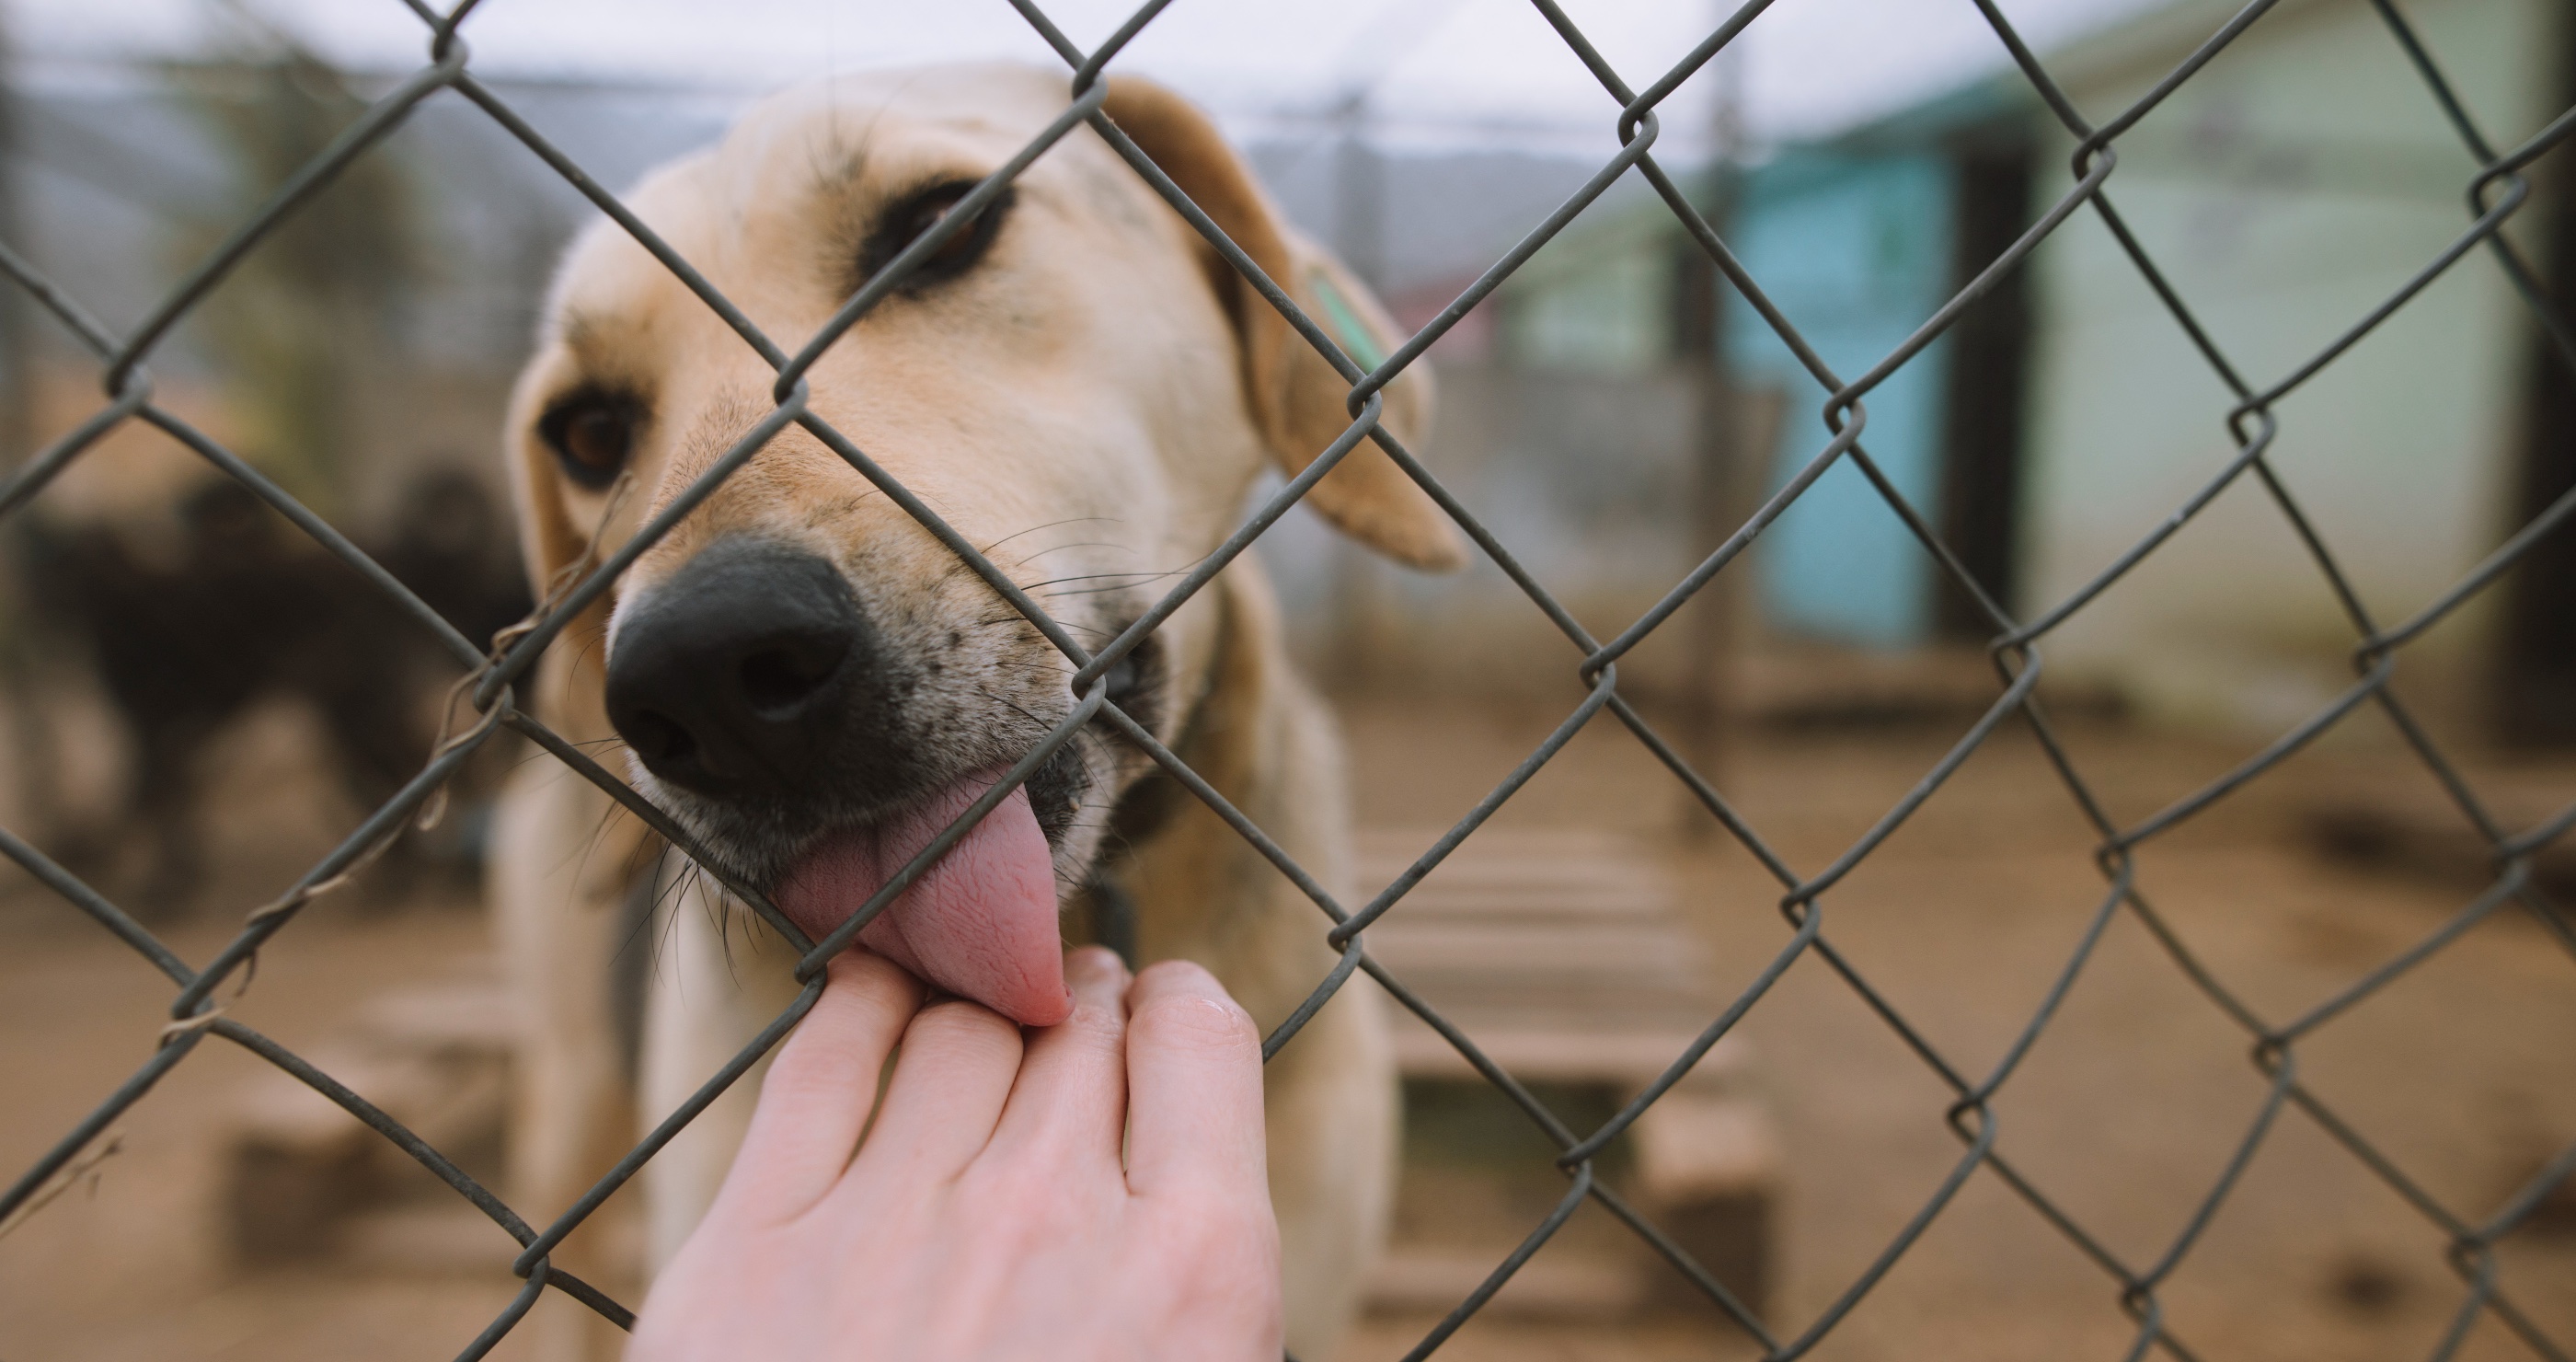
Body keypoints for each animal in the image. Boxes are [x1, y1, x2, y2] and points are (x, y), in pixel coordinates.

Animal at [7, 468, 533, 911]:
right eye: (48, 563)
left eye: (71, 564)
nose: (35, 602)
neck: (125, 603)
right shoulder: (171, 722)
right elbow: (166, 790)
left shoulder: (151, 716)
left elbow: (153, 791)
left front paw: (159, 881)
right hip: (353, 705)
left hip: (359, 700)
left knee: (401, 761)